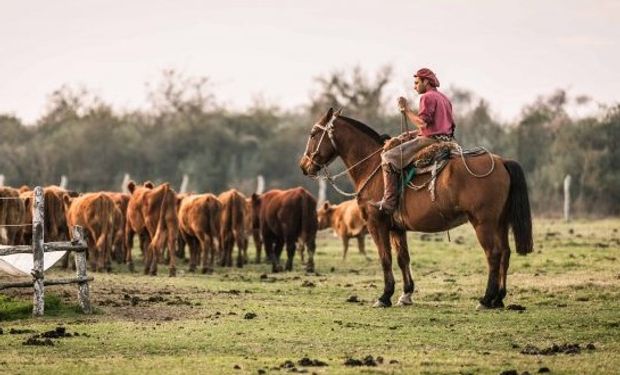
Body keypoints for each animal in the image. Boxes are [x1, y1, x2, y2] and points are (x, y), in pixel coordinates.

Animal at [300, 108, 532, 308]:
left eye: (313, 134)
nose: (304, 165)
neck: (373, 166)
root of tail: (502, 162)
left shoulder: (377, 224)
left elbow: (385, 259)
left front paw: (385, 296)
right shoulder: (397, 228)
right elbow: (403, 259)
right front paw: (406, 294)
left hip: (483, 223)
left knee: (493, 254)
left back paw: (486, 299)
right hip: (500, 222)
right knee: (505, 253)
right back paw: (499, 298)